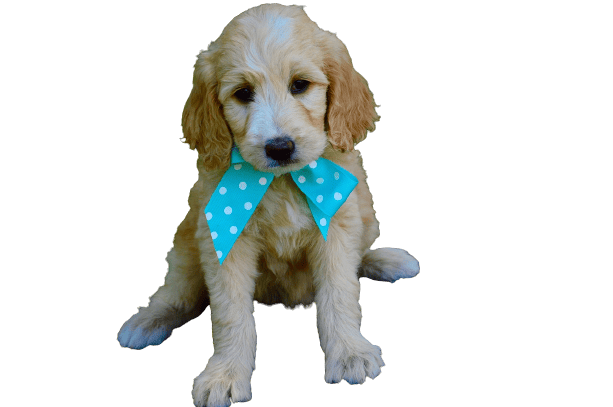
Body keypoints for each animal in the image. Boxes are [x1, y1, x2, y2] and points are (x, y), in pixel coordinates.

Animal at [117, 3, 418, 407]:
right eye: (243, 93)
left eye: (300, 85)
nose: (279, 147)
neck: (281, 182)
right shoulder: (223, 238)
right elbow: (230, 312)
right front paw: (226, 373)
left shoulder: (338, 224)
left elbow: (340, 293)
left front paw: (349, 353)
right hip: (186, 244)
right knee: (179, 293)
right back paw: (148, 320)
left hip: (365, 213)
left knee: (361, 256)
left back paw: (388, 261)